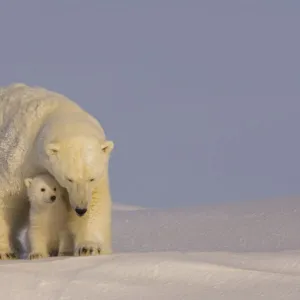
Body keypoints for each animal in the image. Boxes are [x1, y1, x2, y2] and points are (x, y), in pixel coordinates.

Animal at [0, 83, 114, 258]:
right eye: (69, 178)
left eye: (91, 178)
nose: (80, 209)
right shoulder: (19, 158)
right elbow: (7, 196)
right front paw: (5, 252)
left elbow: (96, 200)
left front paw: (89, 247)